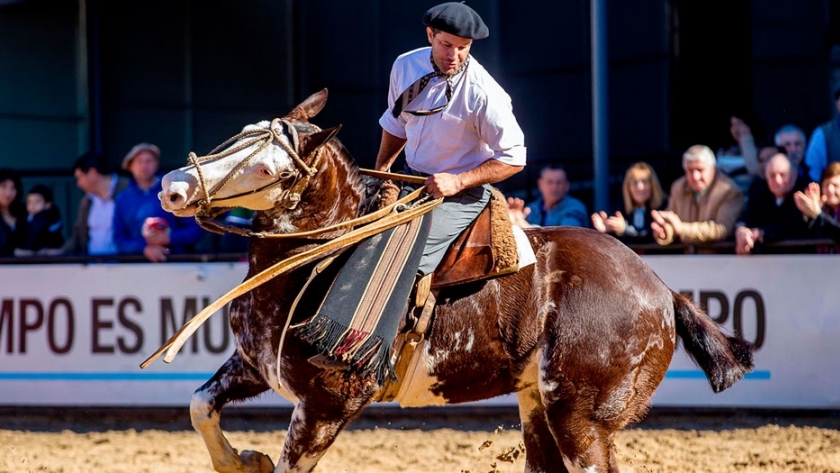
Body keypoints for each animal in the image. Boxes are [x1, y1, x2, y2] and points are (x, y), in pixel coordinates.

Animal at [156, 89, 756, 472]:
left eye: (267, 169)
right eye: (237, 135)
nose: (172, 187)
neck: (322, 260)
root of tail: (661, 290)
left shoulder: (327, 405)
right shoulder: (255, 366)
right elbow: (199, 406)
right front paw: (242, 460)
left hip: (581, 418)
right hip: (537, 403)